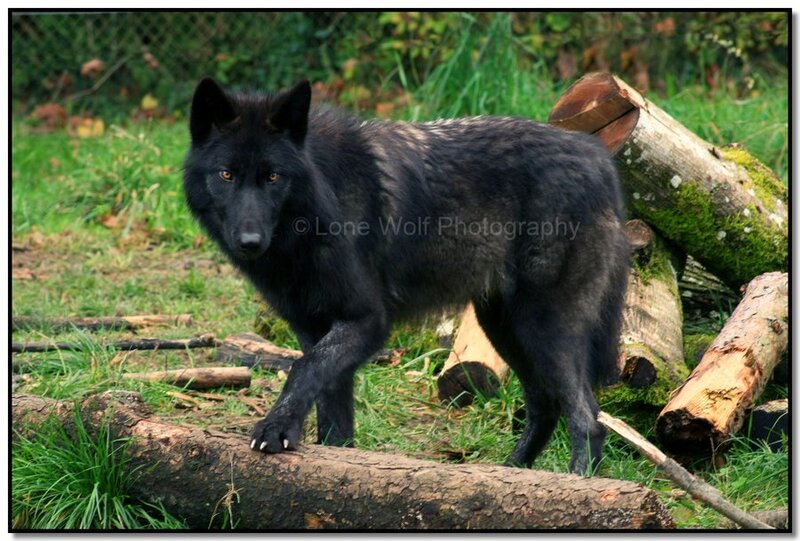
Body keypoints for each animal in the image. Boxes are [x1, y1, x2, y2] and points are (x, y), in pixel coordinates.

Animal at [183, 78, 629, 474]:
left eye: (273, 177)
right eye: (226, 175)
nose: (250, 241)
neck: (320, 206)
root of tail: (598, 157)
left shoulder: (367, 320)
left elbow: (303, 369)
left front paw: (276, 429)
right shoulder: (315, 328)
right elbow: (331, 412)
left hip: (544, 328)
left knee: (587, 417)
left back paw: (576, 485)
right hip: (505, 329)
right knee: (545, 405)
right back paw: (513, 475)